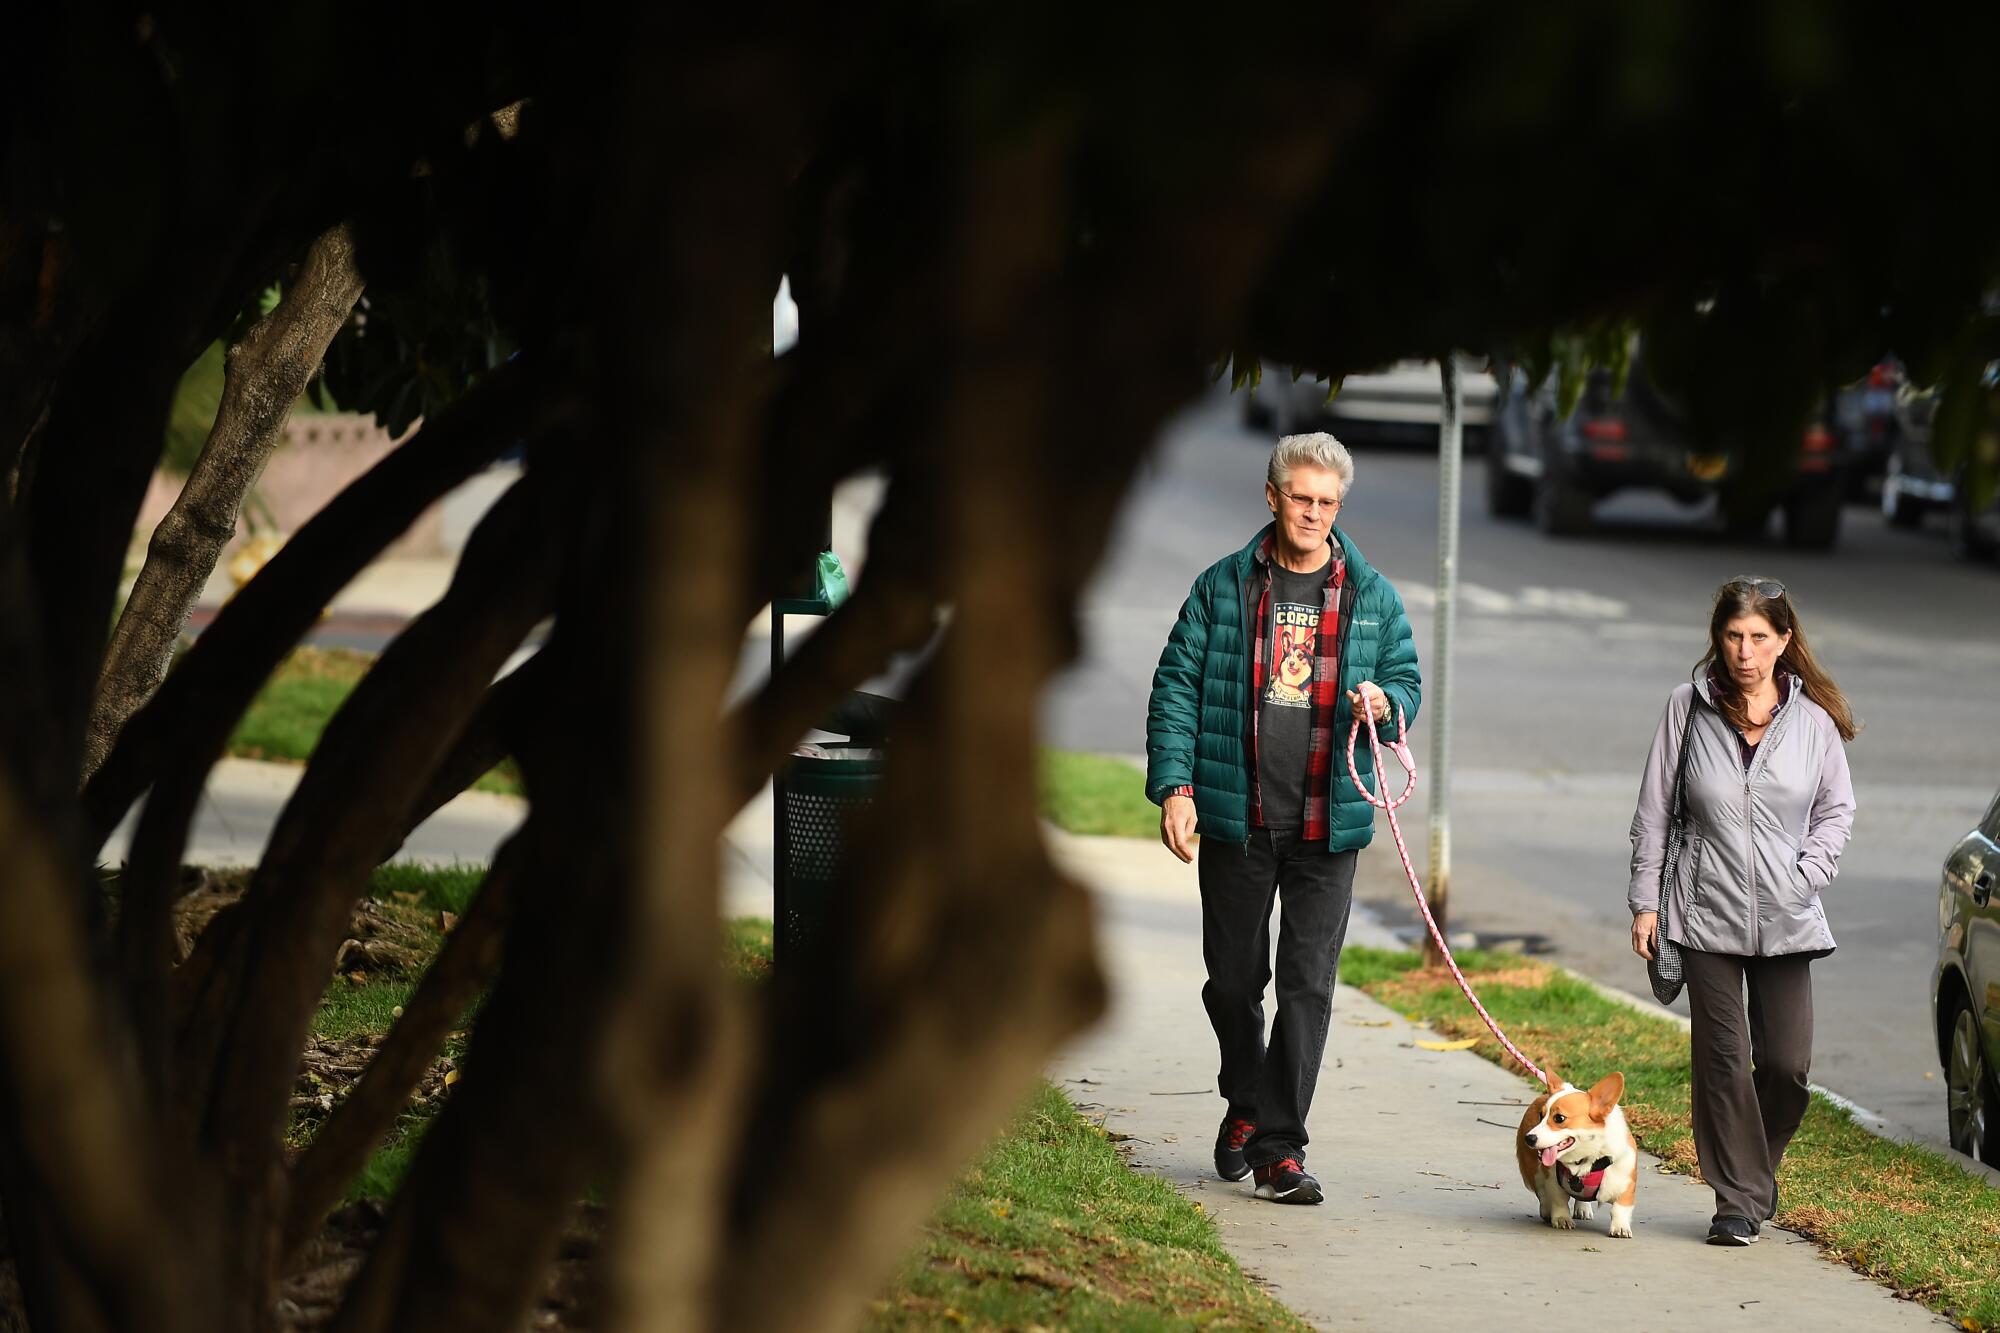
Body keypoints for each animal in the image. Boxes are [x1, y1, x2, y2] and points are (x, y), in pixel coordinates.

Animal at [1520, 1072, 1632, 1232]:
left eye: (1559, 1118)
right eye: (1541, 1116)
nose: (1528, 1138)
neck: (1588, 1158)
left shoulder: (1624, 1181)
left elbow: (1620, 1208)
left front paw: (1621, 1228)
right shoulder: (1553, 1182)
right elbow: (1558, 1201)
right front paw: (1562, 1219)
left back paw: (1583, 1209)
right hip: (1534, 1171)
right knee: (1542, 1193)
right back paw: (1547, 1210)